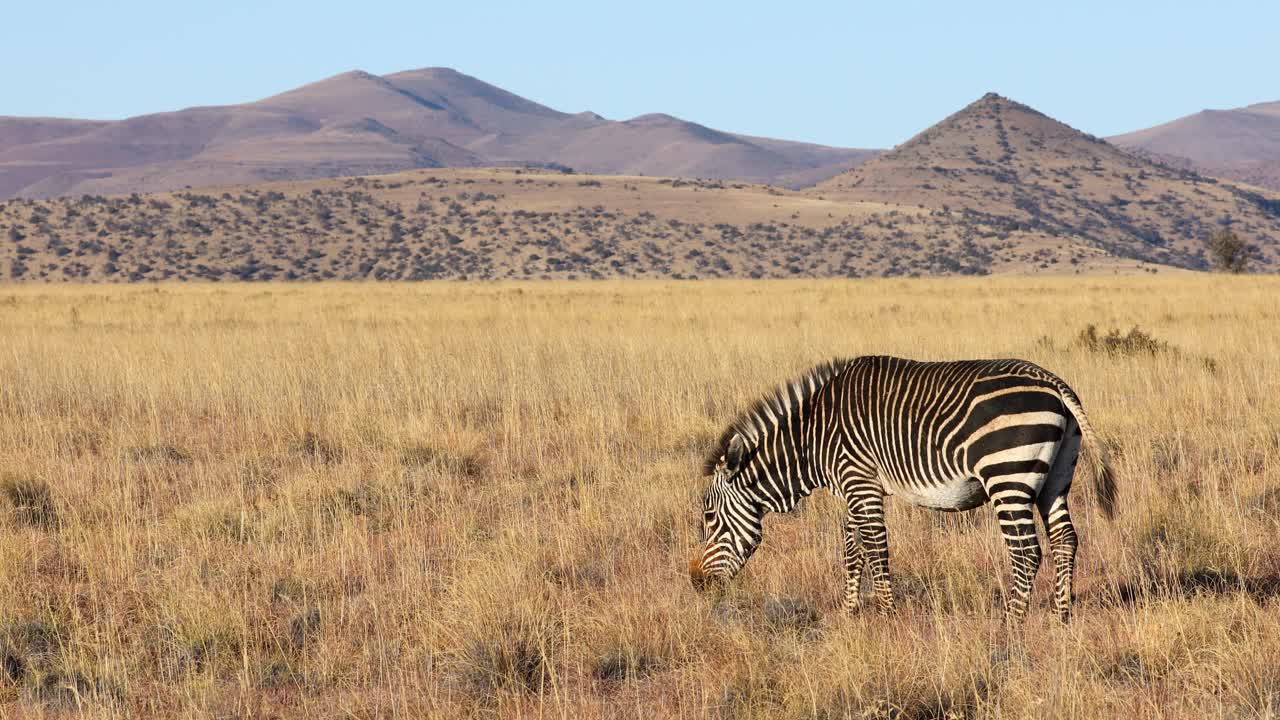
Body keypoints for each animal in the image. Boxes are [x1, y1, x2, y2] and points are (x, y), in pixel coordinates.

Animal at [689, 356, 1116, 623]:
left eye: (709, 518)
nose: (696, 583)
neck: (813, 438)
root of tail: (1053, 383)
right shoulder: (853, 487)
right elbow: (852, 549)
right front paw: (850, 613)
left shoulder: (860, 481)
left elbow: (876, 549)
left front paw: (887, 615)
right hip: (1055, 476)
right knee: (1065, 539)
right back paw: (1061, 616)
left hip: (1007, 475)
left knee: (1026, 552)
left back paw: (1011, 624)